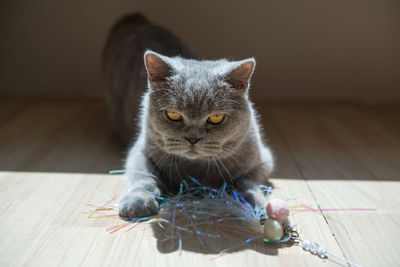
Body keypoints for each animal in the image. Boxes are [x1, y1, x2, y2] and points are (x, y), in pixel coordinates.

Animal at [102, 13, 276, 220]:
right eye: (173, 114)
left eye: (216, 117)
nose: (193, 138)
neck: (195, 170)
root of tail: (135, 20)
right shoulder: (140, 151)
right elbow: (144, 176)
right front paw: (137, 202)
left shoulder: (262, 161)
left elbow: (246, 182)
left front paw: (260, 205)